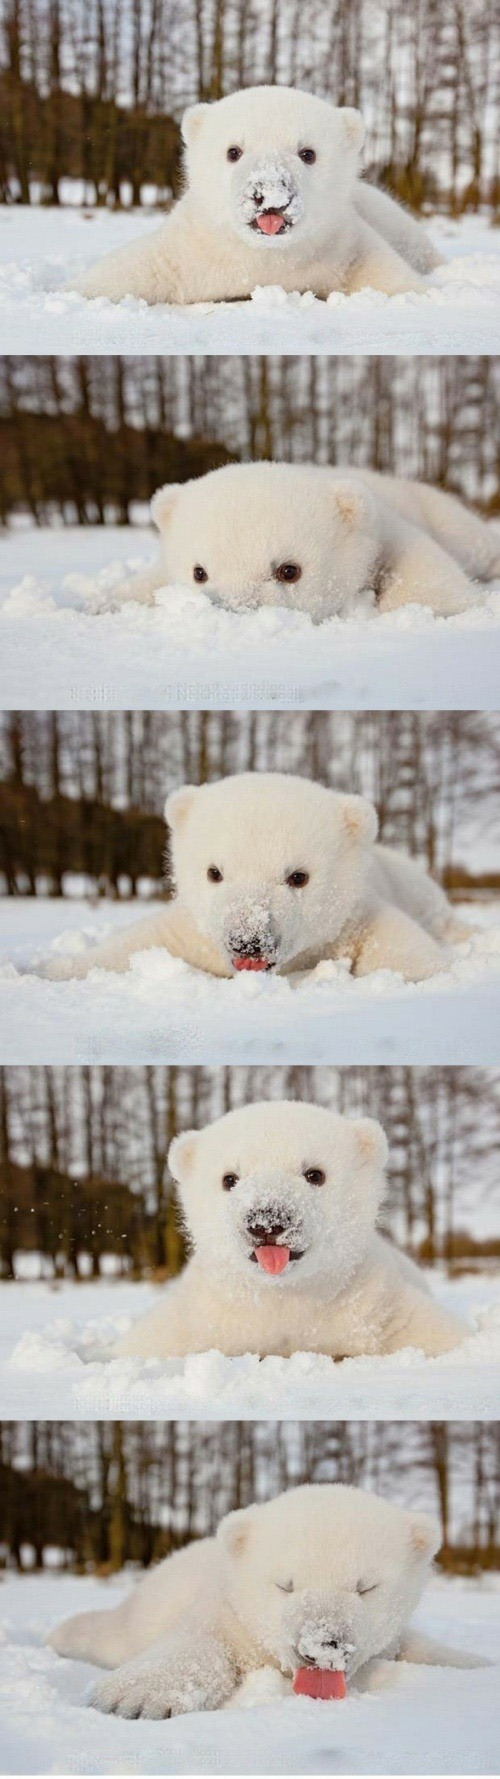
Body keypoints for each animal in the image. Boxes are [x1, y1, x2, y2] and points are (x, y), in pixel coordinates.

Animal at [45, 771, 473, 986]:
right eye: (214, 872)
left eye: (298, 876)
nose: (248, 942)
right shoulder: (194, 932)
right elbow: (139, 944)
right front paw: (51, 969)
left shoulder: (352, 919)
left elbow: (398, 944)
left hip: (413, 884)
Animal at [48, 1483, 484, 1719]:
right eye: (285, 1584)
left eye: (365, 1586)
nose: (321, 1645)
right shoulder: (226, 1612)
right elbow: (200, 1642)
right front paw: (132, 1697)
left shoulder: (392, 1638)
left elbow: (419, 1646)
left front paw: (476, 1664)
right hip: (141, 1611)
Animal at [69, 86, 439, 306]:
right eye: (233, 151)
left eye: (308, 153)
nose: (269, 193)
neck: (264, 259)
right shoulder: (187, 252)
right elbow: (127, 271)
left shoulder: (344, 248)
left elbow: (394, 280)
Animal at [106, 462, 500, 621]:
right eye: (198, 572)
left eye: (289, 570)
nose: (236, 610)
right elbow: (147, 584)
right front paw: (103, 600)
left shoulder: (386, 529)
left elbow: (423, 573)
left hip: (438, 511)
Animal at [116, 1099, 465, 1362]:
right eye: (229, 1179)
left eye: (314, 1174)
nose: (266, 1221)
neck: (282, 1296)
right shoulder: (203, 1316)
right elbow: (152, 1340)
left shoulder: (375, 1305)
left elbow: (434, 1332)